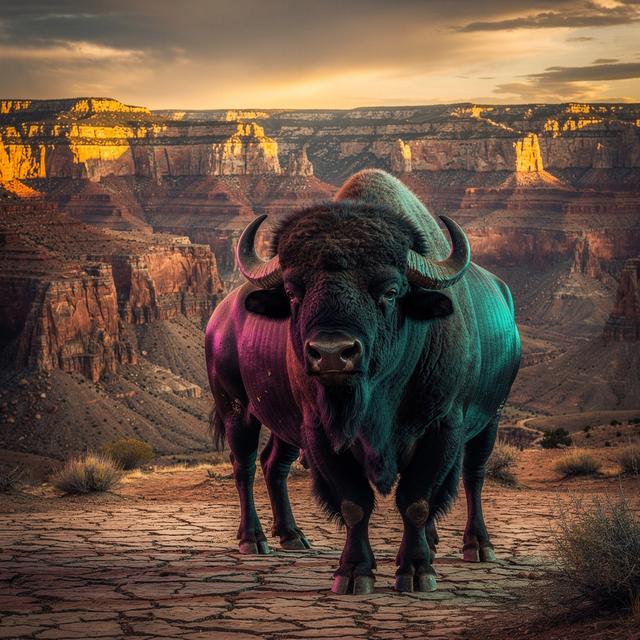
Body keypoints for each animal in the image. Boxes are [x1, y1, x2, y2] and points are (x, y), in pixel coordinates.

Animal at [205, 169, 520, 594]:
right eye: (291, 290)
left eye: (390, 291)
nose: (332, 353)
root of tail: (218, 318)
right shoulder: (320, 430)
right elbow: (355, 503)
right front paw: (353, 573)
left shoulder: (445, 426)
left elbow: (417, 501)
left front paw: (416, 572)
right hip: (238, 411)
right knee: (247, 466)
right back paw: (254, 540)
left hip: (489, 420)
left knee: (474, 475)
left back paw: (476, 546)